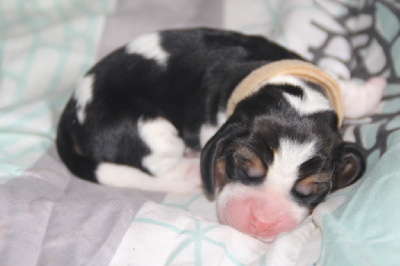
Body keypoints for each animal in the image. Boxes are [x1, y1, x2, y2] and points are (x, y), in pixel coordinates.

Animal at [56, 27, 384, 241]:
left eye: (312, 189)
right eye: (243, 165)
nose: (261, 222)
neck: (292, 90)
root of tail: (72, 113)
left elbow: (345, 90)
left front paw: (372, 90)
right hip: (148, 128)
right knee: (162, 163)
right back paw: (190, 169)